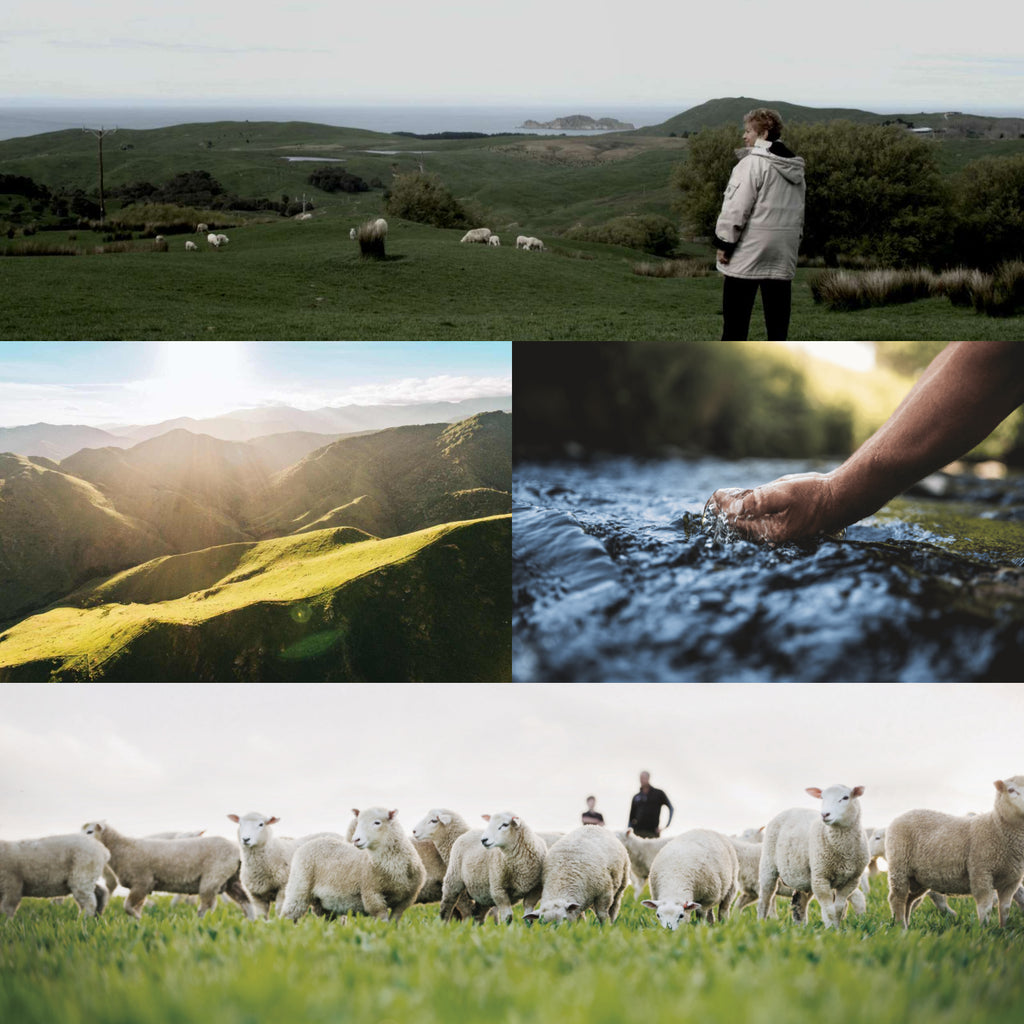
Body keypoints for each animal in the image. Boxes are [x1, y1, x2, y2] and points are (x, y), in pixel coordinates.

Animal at [79, 823, 253, 921]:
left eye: (89, 831)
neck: (123, 847)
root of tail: (237, 850)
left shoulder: (142, 882)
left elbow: (128, 907)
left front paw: (138, 919)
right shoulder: (142, 886)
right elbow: (134, 907)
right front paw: (136, 924)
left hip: (213, 878)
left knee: (207, 907)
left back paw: (200, 923)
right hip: (230, 881)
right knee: (245, 901)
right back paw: (251, 922)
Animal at [757, 782, 868, 929]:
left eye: (845, 797)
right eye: (822, 797)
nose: (825, 814)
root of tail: (791, 809)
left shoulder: (851, 881)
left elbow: (838, 909)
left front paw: (837, 929)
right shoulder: (821, 877)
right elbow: (829, 910)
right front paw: (832, 930)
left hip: (805, 876)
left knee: (798, 902)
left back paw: (801, 928)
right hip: (769, 865)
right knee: (765, 899)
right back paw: (761, 923)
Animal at [884, 774, 1024, 929]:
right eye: (1011, 790)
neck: (995, 826)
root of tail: (899, 816)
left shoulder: (1011, 880)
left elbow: (1005, 909)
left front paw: (1003, 930)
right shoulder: (981, 873)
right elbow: (985, 908)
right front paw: (984, 930)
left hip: (918, 878)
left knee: (909, 900)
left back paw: (906, 925)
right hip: (899, 867)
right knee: (897, 899)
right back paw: (900, 927)